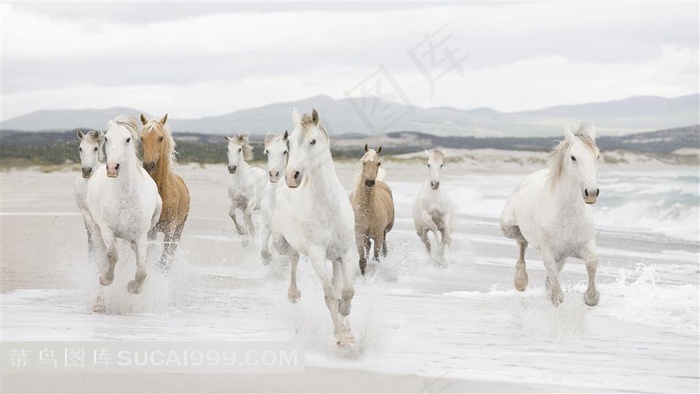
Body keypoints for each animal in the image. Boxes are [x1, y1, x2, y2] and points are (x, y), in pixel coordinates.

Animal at [86, 115, 163, 294]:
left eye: (128, 139)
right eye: (107, 138)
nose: (112, 167)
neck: (126, 197)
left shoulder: (141, 234)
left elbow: (142, 268)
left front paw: (134, 287)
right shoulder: (107, 230)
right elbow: (112, 255)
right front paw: (106, 279)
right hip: (94, 226)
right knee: (101, 255)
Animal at [139, 112, 190, 270]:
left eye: (160, 137)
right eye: (141, 138)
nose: (148, 165)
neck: (162, 191)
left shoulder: (170, 230)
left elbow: (164, 260)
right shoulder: (151, 230)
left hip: (179, 229)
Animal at [272, 107, 358, 344]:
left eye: (312, 141)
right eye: (289, 142)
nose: (291, 176)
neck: (328, 207)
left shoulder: (347, 251)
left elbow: (346, 291)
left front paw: (346, 320)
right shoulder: (317, 254)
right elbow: (329, 296)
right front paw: (340, 337)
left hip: (336, 258)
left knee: (337, 282)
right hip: (281, 243)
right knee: (293, 256)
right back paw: (293, 295)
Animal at [350, 143, 394, 276]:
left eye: (378, 163)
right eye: (363, 162)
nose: (369, 182)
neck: (367, 209)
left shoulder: (378, 235)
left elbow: (376, 258)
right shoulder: (359, 234)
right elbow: (362, 260)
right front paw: (363, 276)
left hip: (384, 231)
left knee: (383, 244)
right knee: (368, 246)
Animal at [504, 123, 600, 308]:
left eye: (597, 156)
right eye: (573, 157)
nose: (591, 192)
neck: (567, 214)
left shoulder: (585, 245)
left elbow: (592, 262)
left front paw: (591, 297)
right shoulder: (549, 252)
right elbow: (556, 290)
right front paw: (555, 296)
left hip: (562, 257)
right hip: (507, 228)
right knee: (521, 243)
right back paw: (520, 281)